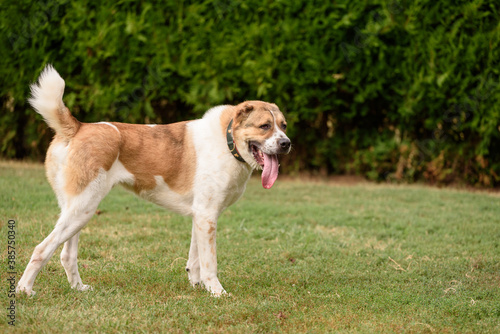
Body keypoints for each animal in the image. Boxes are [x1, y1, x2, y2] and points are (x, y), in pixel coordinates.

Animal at [15, 64, 292, 294]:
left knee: (66, 255)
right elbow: (209, 263)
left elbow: (195, 259)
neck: (227, 140)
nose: (287, 144)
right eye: (265, 126)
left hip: (77, 211)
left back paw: (78, 288)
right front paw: (217, 292)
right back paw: (24, 290)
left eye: (284, 126)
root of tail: (78, 126)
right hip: (82, 209)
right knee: (41, 249)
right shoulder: (207, 216)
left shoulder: (201, 216)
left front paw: (197, 286)